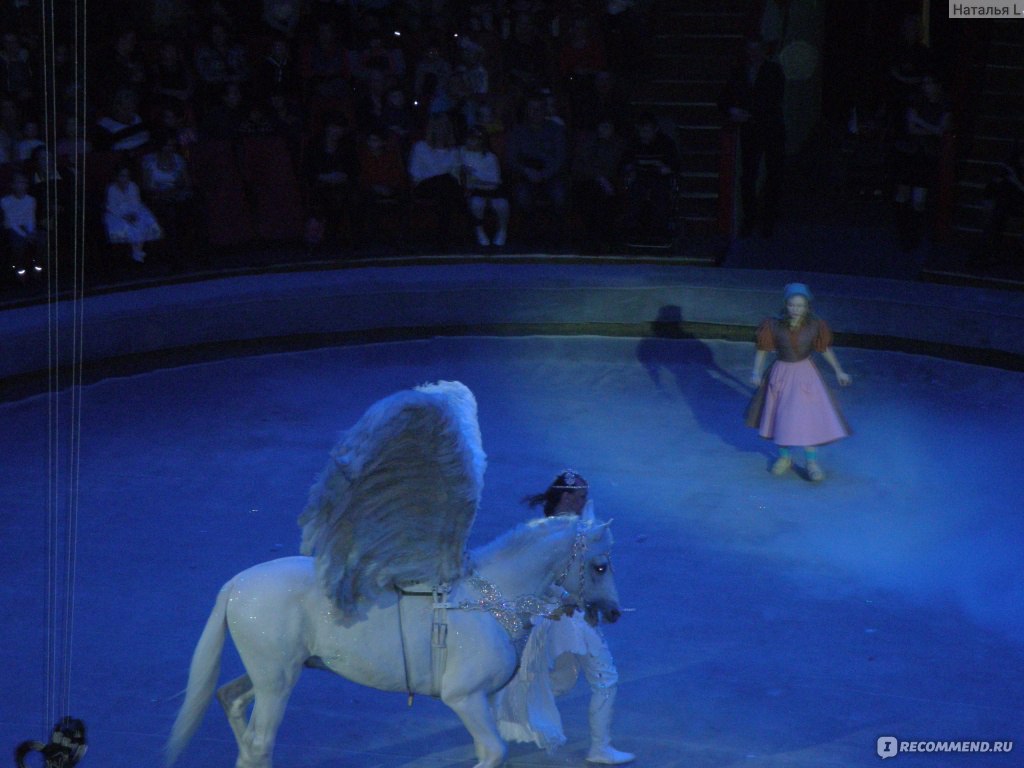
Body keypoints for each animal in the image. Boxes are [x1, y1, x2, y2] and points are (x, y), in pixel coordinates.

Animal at [163, 512, 618, 768]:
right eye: (600, 566)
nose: (613, 612)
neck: (488, 599)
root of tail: (238, 584)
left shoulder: (481, 702)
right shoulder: (464, 699)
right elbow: (493, 753)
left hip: (271, 674)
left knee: (232, 702)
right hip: (277, 683)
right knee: (259, 744)